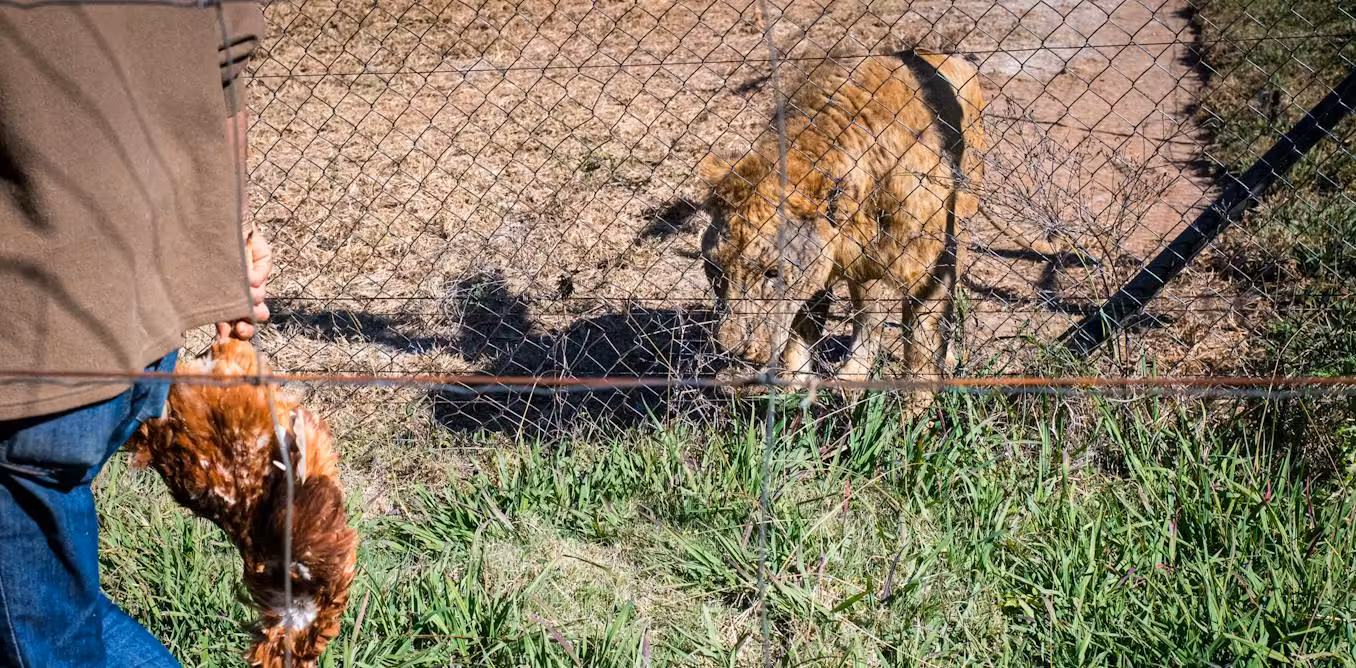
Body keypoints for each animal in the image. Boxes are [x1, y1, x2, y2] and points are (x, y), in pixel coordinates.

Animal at [697, 48, 1029, 408]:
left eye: (772, 273)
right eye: (714, 270)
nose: (734, 350)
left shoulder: (929, 263)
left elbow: (922, 345)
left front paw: (917, 413)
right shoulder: (823, 265)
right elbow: (801, 330)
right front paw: (793, 392)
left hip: (963, 214)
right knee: (868, 312)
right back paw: (853, 375)